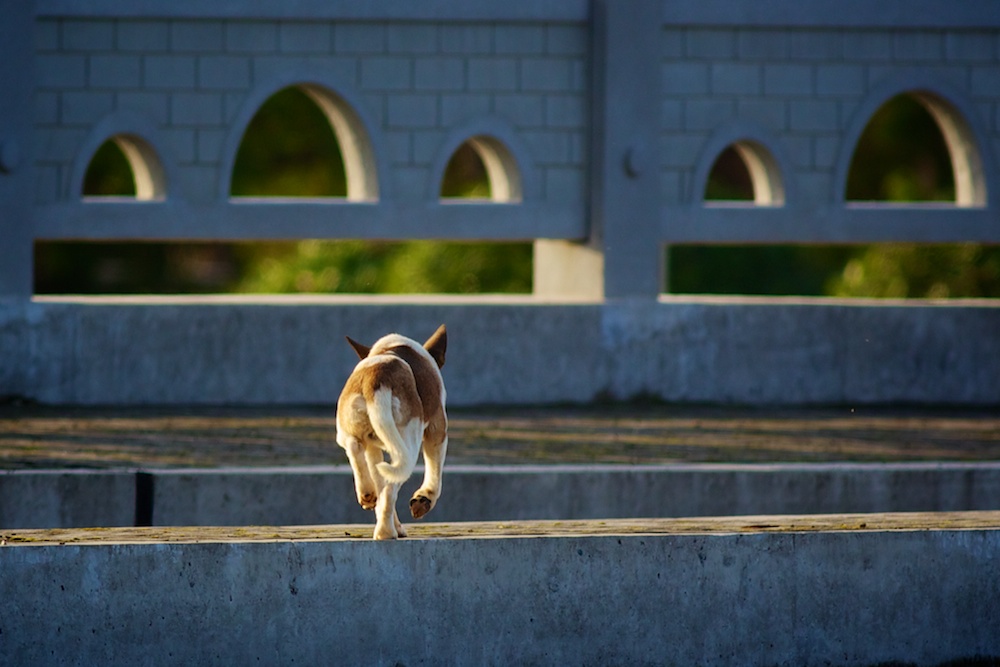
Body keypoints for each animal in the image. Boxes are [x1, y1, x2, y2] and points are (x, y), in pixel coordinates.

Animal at [334, 326, 448, 540]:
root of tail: (376, 380)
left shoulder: (373, 449)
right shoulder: (437, 429)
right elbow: (434, 471)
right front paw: (424, 499)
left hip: (350, 429)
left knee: (355, 449)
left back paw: (367, 493)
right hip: (408, 445)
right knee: (390, 488)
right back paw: (386, 532)